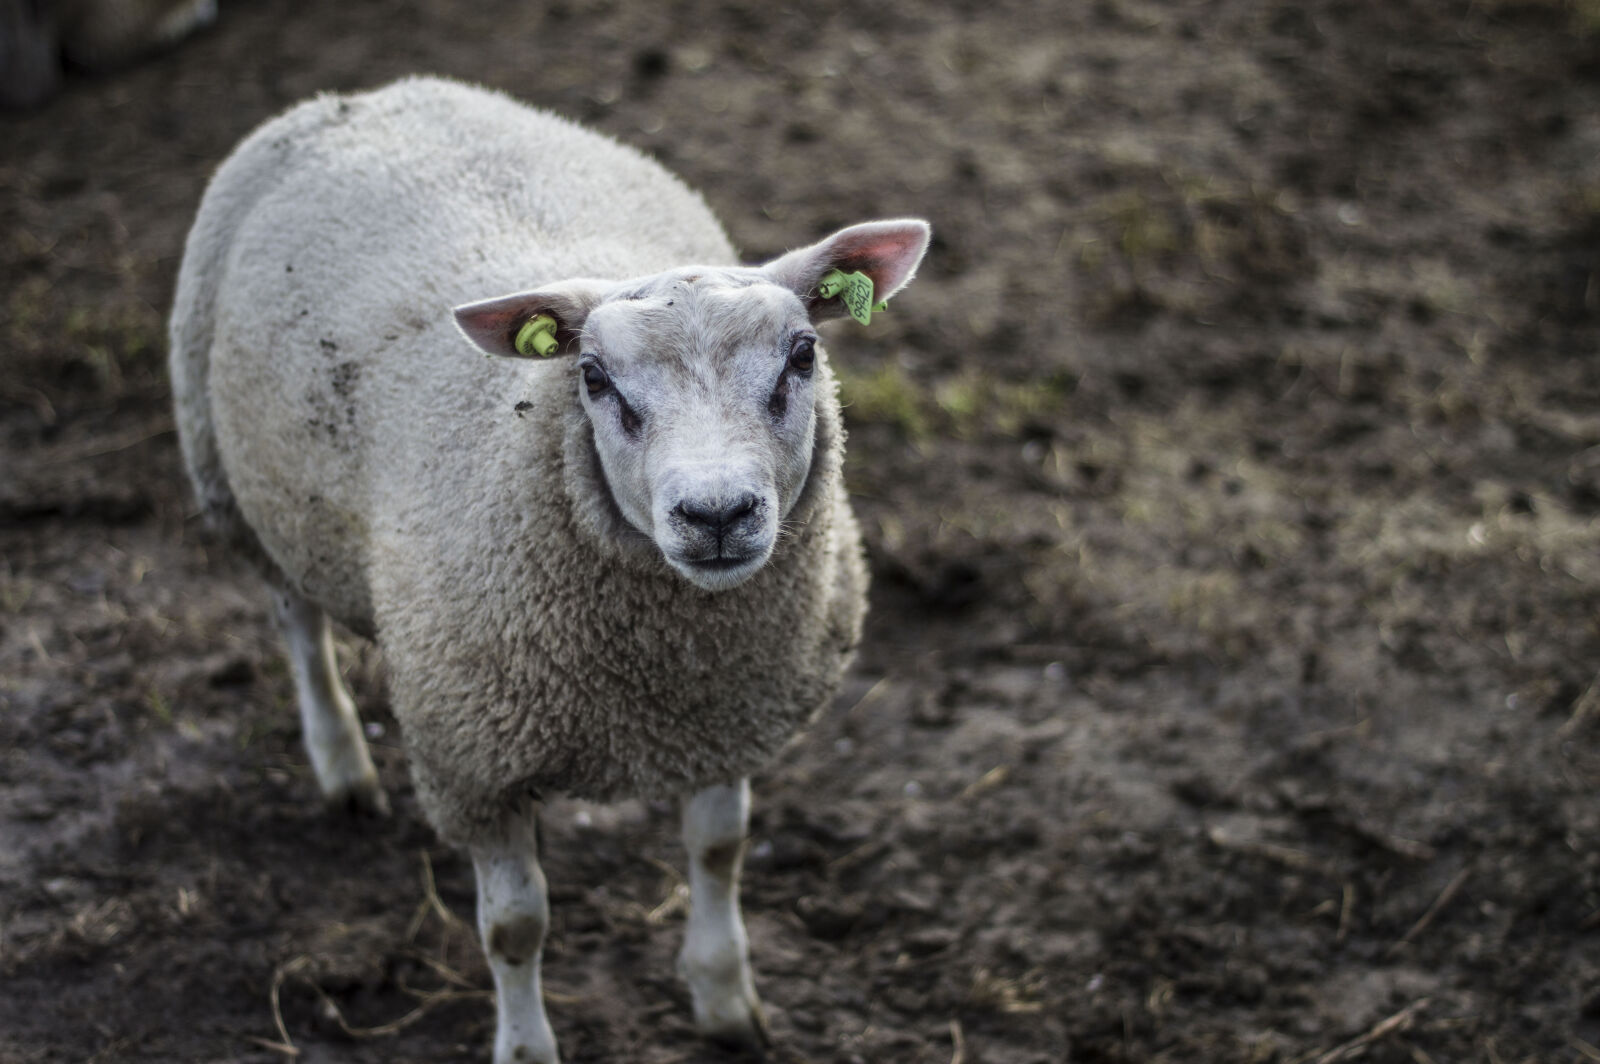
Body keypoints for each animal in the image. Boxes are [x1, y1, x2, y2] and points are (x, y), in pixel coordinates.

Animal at [168, 75, 930, 1063]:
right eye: (596, 379)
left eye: (803, 354)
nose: (716, 515)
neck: (659, 669)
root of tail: (371, 94)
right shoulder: (473, 762)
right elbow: (514, 929)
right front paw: (525, 1044)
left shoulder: (727, 711)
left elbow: (719, 852)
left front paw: (726, 999)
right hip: (235, 481)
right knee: (296, 625)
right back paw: (341, 765)